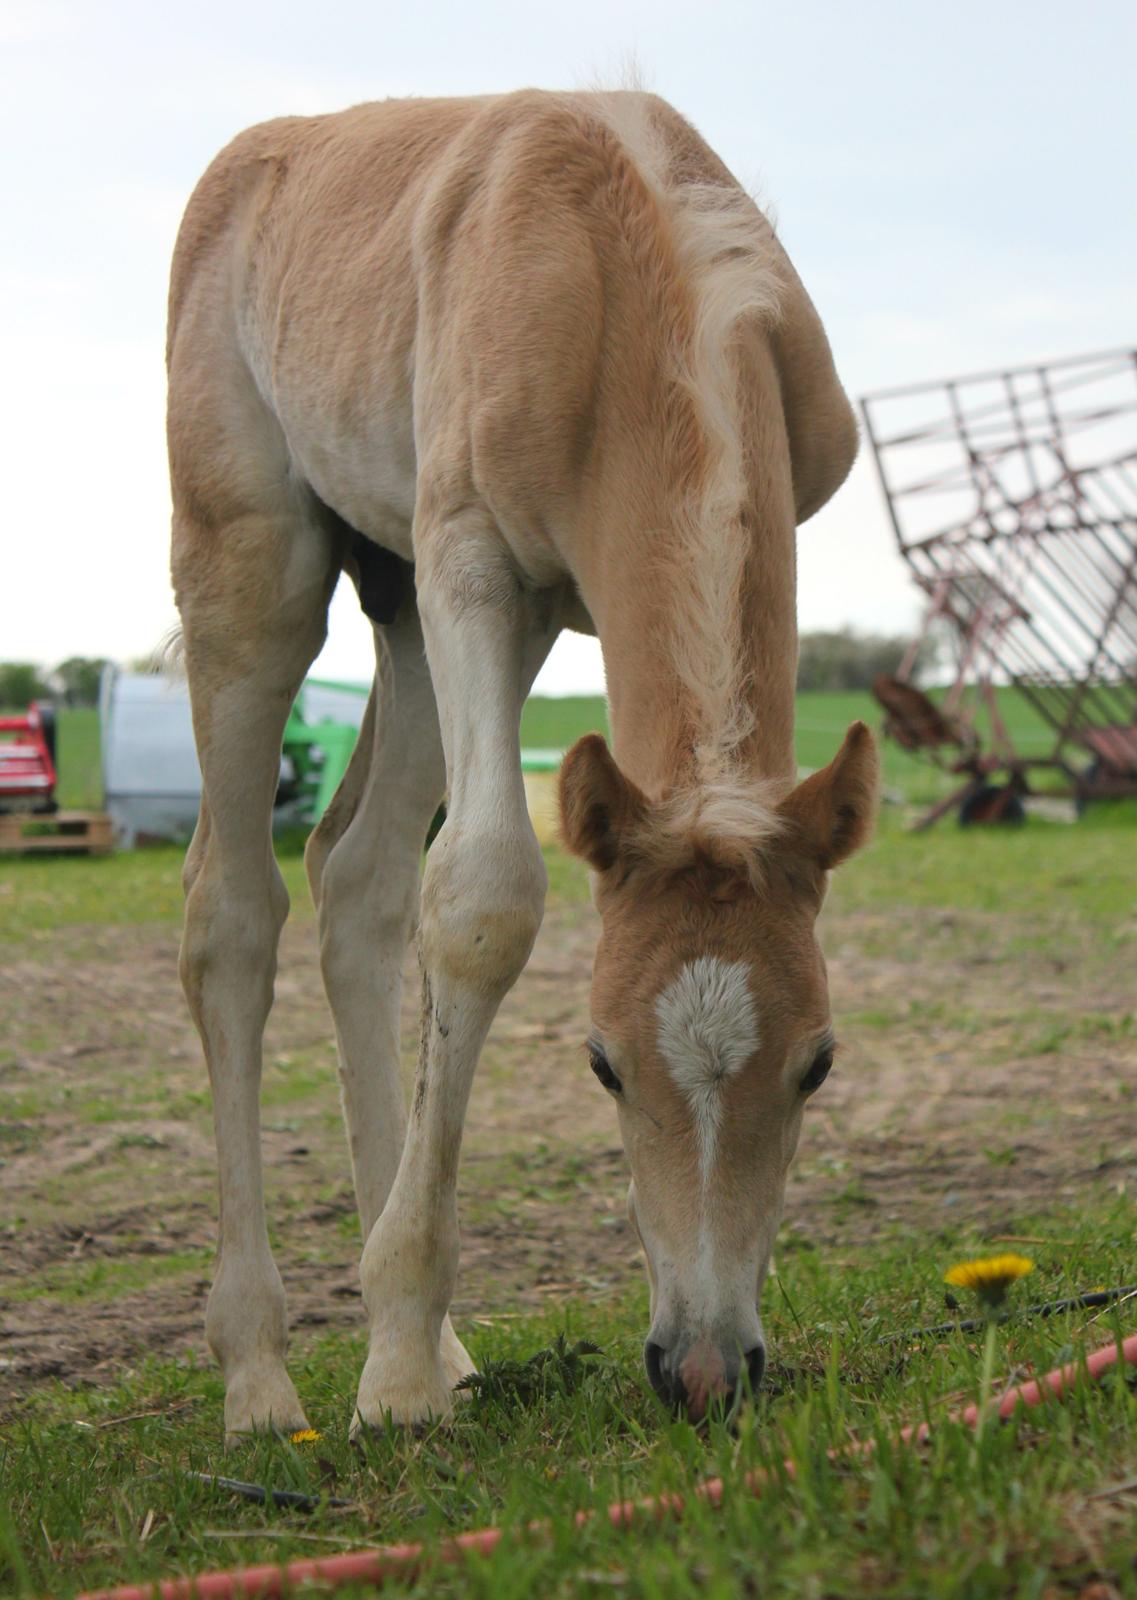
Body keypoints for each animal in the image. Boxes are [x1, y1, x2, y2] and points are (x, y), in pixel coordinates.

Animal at [168, 87, 882, 1440]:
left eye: (820, 1063)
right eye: (600, 1062)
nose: (703, 1370)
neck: (638, 273)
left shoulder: (526, 587)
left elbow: (429, 893)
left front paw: (408, 1341)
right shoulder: (472, 560)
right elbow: (485, 894)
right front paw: (393, 1377)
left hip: (403, 595)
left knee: (358, 879)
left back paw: (434, 1345)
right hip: (260, 564)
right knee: (232, 911)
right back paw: (258, 1376)